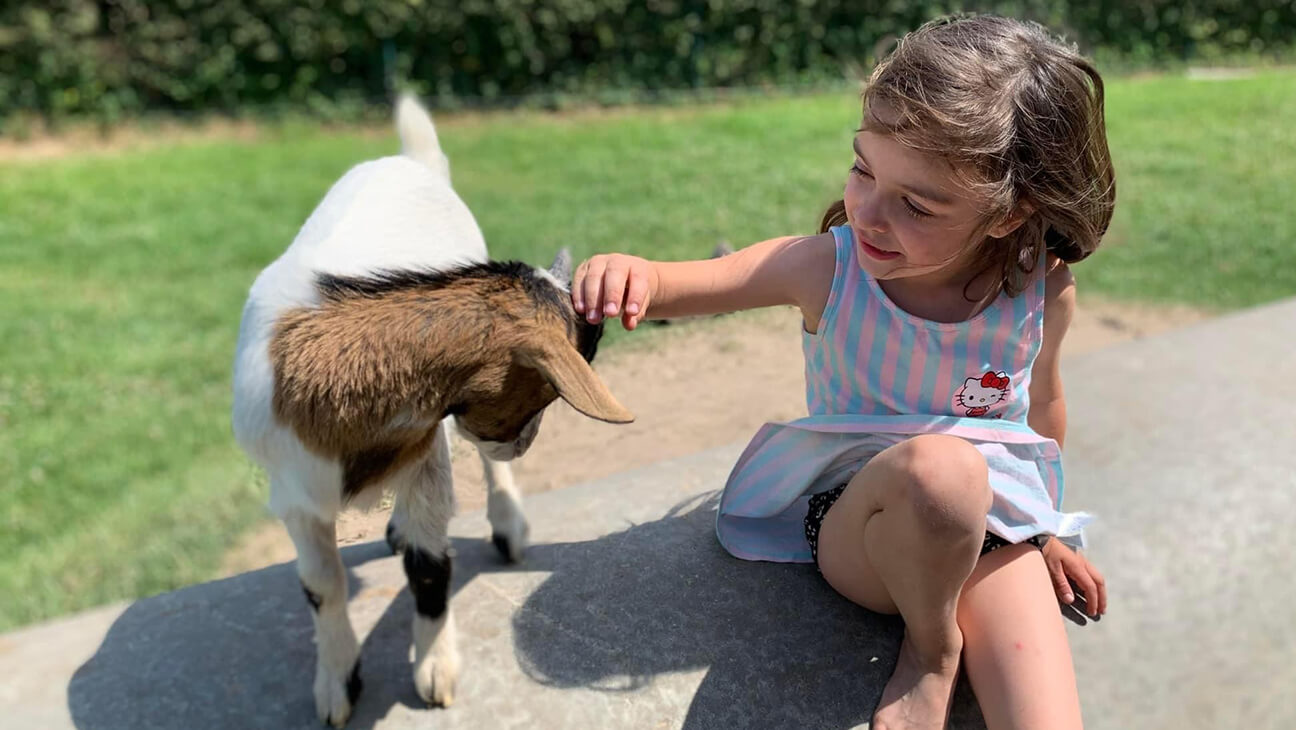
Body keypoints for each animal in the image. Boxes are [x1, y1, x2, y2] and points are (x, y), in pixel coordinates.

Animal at [234, 95, 637, 726]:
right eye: (549, 389)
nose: (522, 442)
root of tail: (411, 161)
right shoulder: (295, 495)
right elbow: (322, 585)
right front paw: (336, 686)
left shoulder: (428, 457)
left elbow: (430, 566)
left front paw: (434, 672)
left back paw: (507, 527)